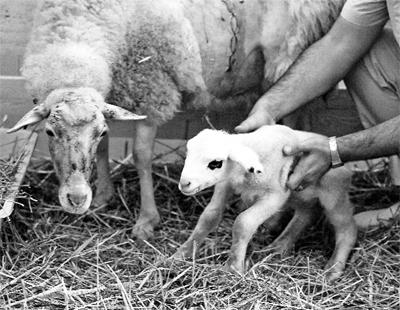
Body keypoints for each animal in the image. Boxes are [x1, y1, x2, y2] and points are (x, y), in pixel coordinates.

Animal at [9, 0, 346, 240]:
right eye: (50, 132)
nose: (77, 199)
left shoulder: (154, 86)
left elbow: (141, 156)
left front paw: (146, 221)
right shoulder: (113, 92)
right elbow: (103, 150)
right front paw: (104, 195)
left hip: (287, 54)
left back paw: (275, 216)